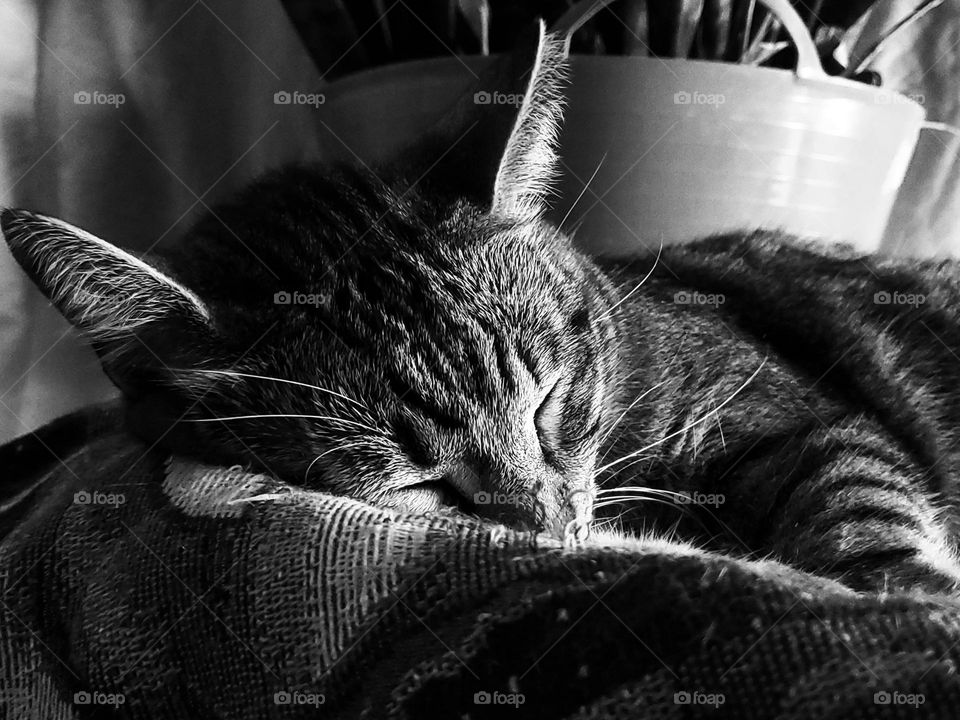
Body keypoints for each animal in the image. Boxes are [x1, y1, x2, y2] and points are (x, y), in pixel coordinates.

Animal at [1, 23, 960, 596]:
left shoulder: (791, 413)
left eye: (549, 403)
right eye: (412, 484)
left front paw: (914, 602)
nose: (554, 528)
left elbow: (860, 502)